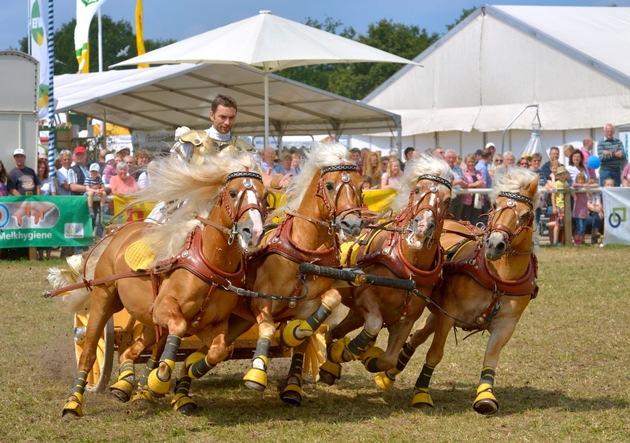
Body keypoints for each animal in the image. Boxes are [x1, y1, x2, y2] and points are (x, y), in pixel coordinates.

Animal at [55, 151, 270, 418]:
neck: (210, 263)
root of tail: (118, 233)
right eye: (232, 192)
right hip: (104, 301)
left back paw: (125, 386)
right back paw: (73, 403)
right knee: (88, 351)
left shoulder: (213, 324)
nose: (254, 231)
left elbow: (220, 350)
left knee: (131, 350)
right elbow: (178, 326)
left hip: (147, 320)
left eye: (264, 195)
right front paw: (160, 378)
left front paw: (190, 373)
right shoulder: (165, 309)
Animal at [168, 142, 366, 412]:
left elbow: (321, 313)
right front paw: (257, 373)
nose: (353, 224)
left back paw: (183, 390)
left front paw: (293, 350)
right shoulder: (262, 300)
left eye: (360, 185)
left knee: (202, 353)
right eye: (329, 185)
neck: (305, 253)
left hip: (232, 322)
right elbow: (269, 327)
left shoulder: (309, 304)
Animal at [320, 157, 454, 388]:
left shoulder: (407, 319)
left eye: (446, 200)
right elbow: (374, 323)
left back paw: (330, 363)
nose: (422, 226)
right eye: (417, 189)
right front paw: (348, 350)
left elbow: (388, 359)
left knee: (334, 331)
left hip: (355, 313)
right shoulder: (365, 296)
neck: (407, 268)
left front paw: (366, 357)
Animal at [378, 167, 540, 416]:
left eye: (524, 215)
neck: (498, 278)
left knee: (418, 335)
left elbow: (490, 358)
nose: (495, 245)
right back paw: (388, 376)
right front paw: (421, 393)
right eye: (496, 205)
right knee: (419, 337)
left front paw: (485, 397)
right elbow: (435, 353)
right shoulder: (449, 313)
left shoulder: (506, 325)